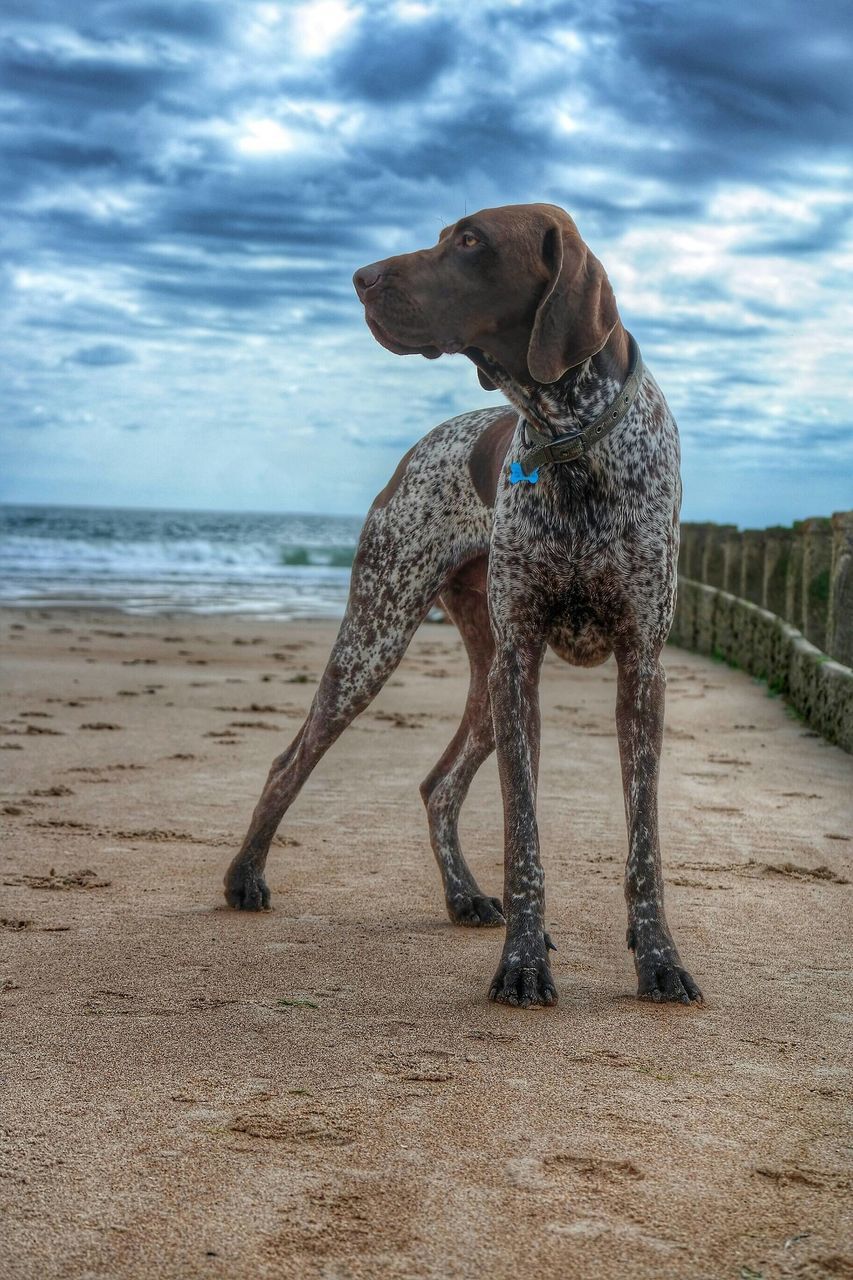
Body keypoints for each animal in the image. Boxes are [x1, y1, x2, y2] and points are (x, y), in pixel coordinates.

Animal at [222, 202, 701, 1008]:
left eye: (472, 240)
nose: (360, 277)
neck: (570, 440)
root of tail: (420, 446)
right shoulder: (521, 666)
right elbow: (523, 837)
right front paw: (524, 964)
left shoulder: (641, 667)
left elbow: (645, 842)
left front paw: (658, 958)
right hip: (383, 635)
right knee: (291, 760)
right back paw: (245, 876)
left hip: (481, 680)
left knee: (439, 786)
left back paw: (464, 895)